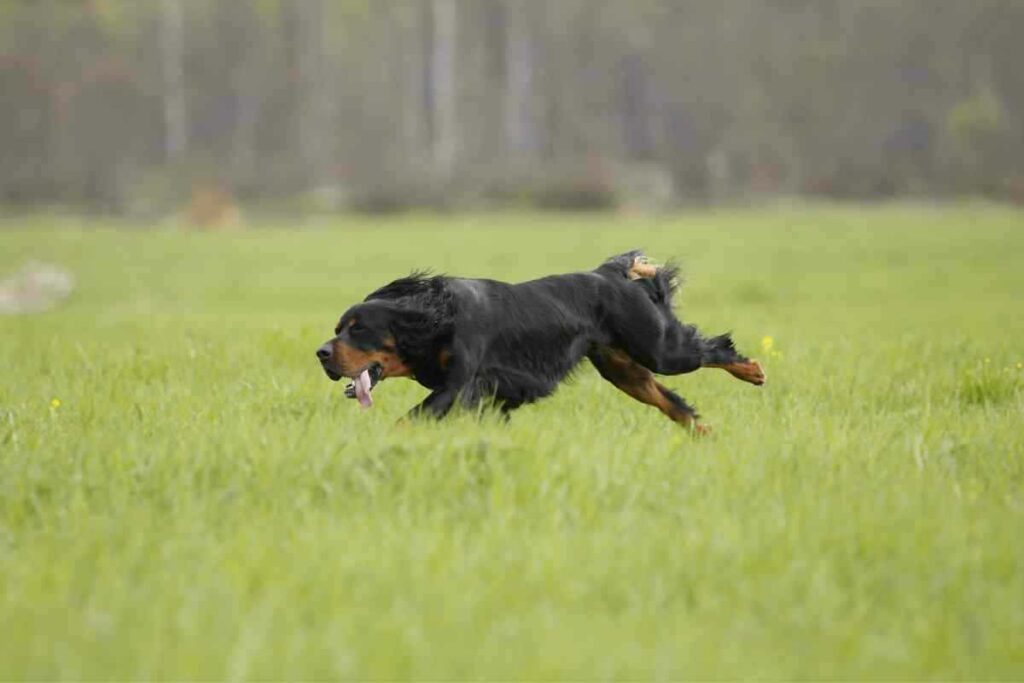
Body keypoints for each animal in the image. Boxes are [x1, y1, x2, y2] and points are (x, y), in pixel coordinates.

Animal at [315, 250, 765, 432]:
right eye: (338, 328)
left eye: (358, 328)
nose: (321, 353)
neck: (435, 318)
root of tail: (609, 274)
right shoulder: (486, 394)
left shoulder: (458, 386)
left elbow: (409, 419)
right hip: (624, 371)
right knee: (673, 403)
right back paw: (705, 434)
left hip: (659, 349)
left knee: (713, 348)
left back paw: (752, 371)